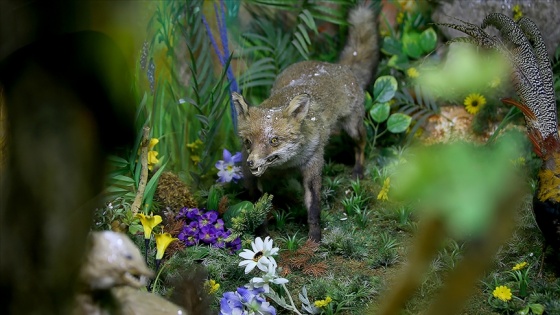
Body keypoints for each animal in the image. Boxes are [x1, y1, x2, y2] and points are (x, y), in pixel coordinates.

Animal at [232, 4, 380, 242]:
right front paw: (262, 236)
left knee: (361, 144)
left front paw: (315, 238)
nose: (252, 162)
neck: (286, 165)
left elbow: (314, 206)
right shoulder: (251, 176)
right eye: (247, 142)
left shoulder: (313, 162)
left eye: (274, 140)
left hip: (353, 128)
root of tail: (335, 66)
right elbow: (257, 207)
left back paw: (358, 169)